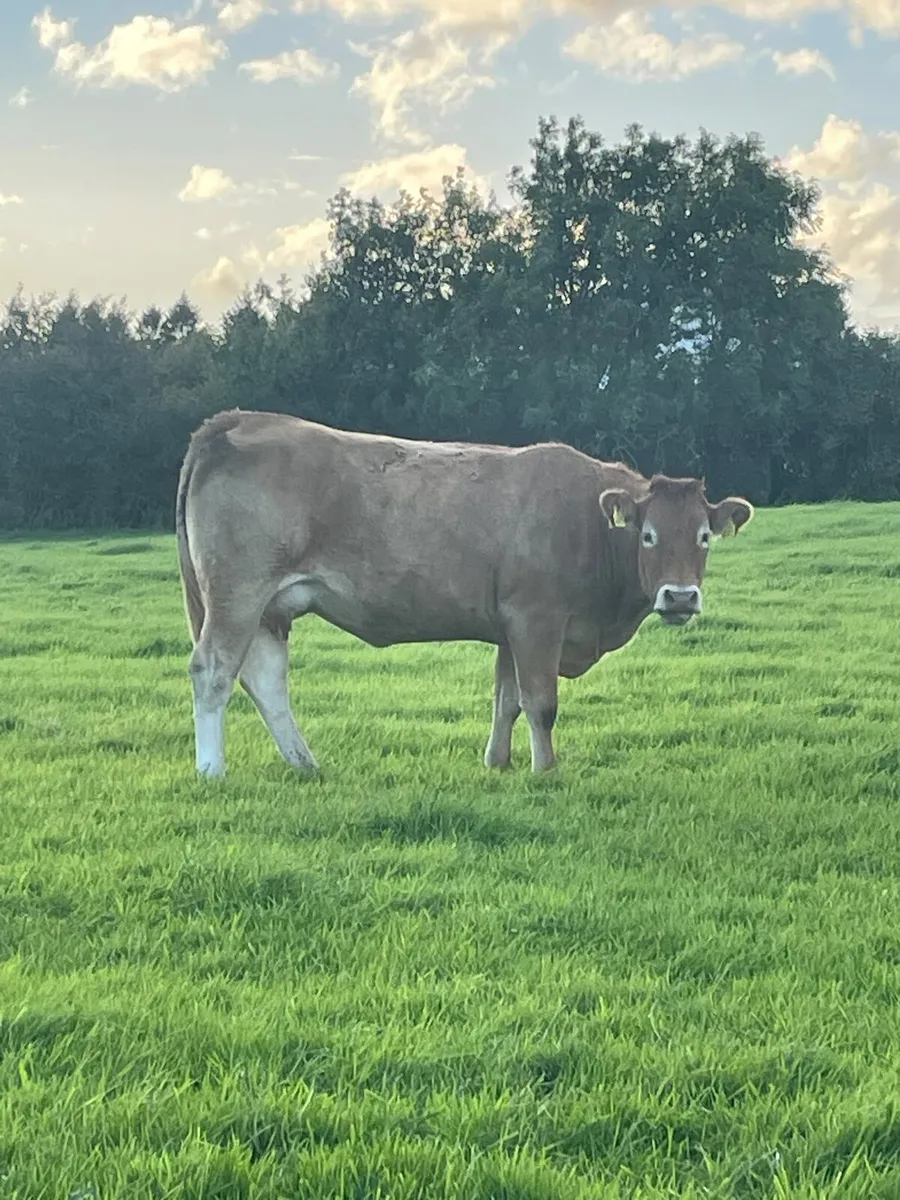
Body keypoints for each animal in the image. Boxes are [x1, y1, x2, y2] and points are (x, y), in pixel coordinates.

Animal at [175, 409, 753, 777]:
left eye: (704, 536)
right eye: (648, 535)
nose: (680, 597)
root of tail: (237, 419)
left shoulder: (510, 628)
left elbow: (506, 701)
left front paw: (498, 763)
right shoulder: (536, 619)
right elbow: (540, 703)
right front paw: (546, 771)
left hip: (270, 607)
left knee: (266, 679)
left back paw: (305, 764)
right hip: (238, 594)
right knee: (214, 671)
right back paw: (211, 770)